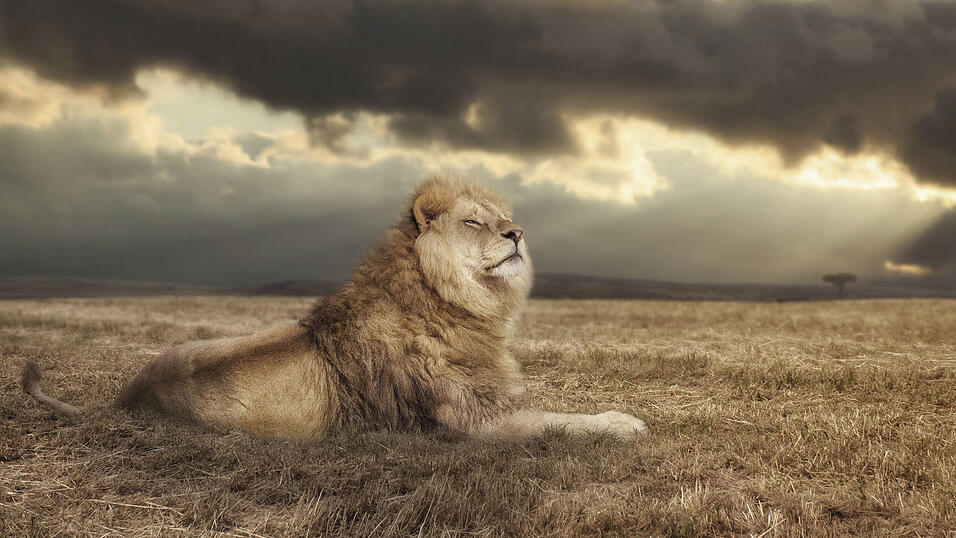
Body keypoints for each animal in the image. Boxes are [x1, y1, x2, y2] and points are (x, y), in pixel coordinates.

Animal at [22, 176, 647, 440]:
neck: (451, 302)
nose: (518, 233)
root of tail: (125, 399)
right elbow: (560, 421)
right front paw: (624, 423)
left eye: (502, 218)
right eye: (474, 221)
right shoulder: (474, 420)